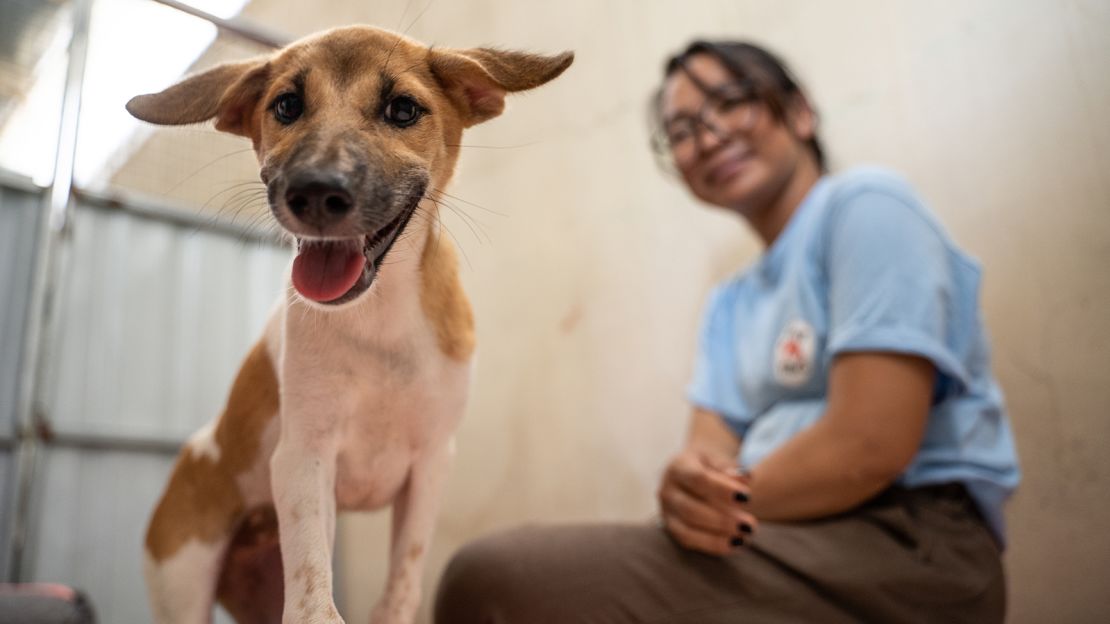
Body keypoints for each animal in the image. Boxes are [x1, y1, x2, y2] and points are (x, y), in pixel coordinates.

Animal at [127, 25, 572, 621]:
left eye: (403, 109)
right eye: (286, 106)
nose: (315, 191)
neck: (378, 319)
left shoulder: (431, 465)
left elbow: (400, 587)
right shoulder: (304, 457)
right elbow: (314, 598)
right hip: (183, 580)